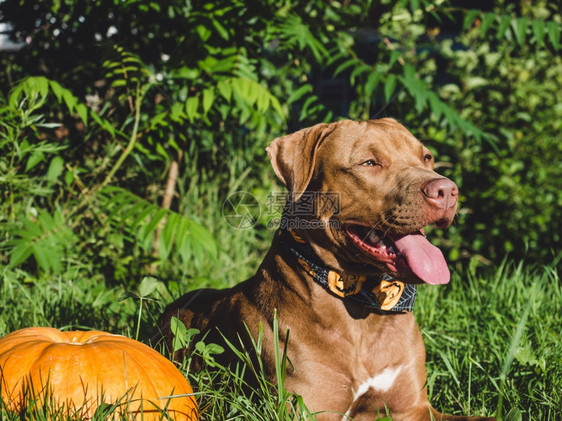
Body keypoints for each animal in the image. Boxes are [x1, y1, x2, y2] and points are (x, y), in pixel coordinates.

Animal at [160, 119, 492, 420]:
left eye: (426, 157)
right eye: (369, 162)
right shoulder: (310, 410)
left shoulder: (414, 409)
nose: (447, 189)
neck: (364, 303)